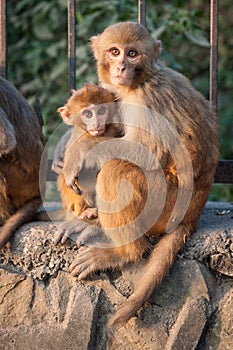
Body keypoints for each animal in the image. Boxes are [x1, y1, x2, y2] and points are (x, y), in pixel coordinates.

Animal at [54, 21, 220, 334]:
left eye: (132, 54)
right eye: (114, 52)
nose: (121, 67)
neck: (141, 80)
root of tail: (192, 214)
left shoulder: (147, 99)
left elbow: (144, 151)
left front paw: (77, 151)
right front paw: (65, 144)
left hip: (165, 203)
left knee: (115, 169)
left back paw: (124, 252)